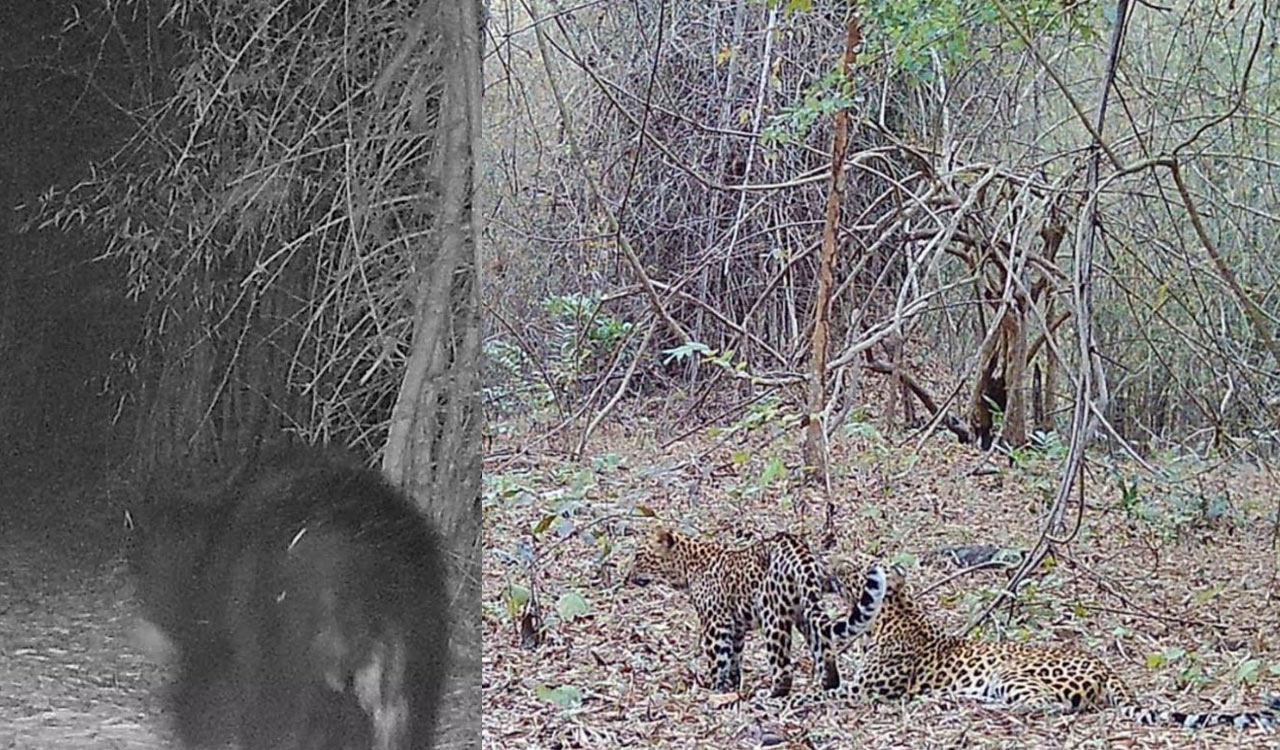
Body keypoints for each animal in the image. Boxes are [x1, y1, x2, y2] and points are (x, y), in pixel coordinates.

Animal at [626, 526, 887, 698]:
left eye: (639, 556)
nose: (626, 576)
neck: (687, 566)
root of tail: (798, 550)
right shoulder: (735, 626)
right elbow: (734, 656)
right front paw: (732, 685)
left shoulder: (716, 623)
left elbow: (718, 658)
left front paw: (714, 689)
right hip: (805, 610)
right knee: (825, 649)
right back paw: (827, 685)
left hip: (773, 615)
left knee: (783, 668)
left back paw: (772, 694)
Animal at [808, 566, 1280, 729]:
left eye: (851, 572)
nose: (833, 570)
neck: (897, 615)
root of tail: (1108, 668)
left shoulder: (866, 689)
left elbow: (827, 692)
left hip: (1012, 673)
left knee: (1045, 705)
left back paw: (969, 703)